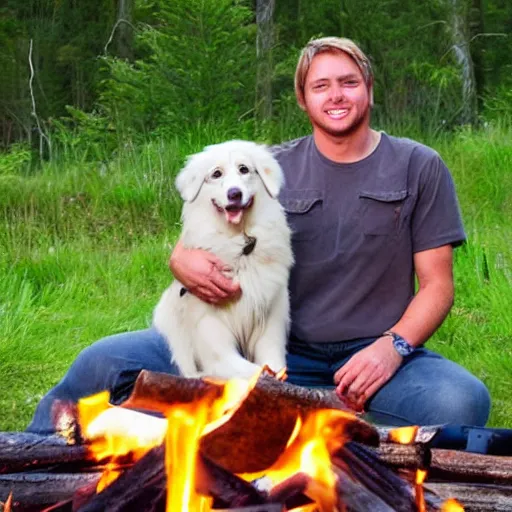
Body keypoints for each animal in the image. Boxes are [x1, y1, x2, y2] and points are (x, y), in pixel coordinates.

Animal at [152, 140, 294, 380]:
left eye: (244, 169)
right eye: (216, 174)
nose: (234, 194)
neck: (240, 245)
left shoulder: (270, 328)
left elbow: (272, 366)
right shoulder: (216, 348)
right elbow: (251, 372)